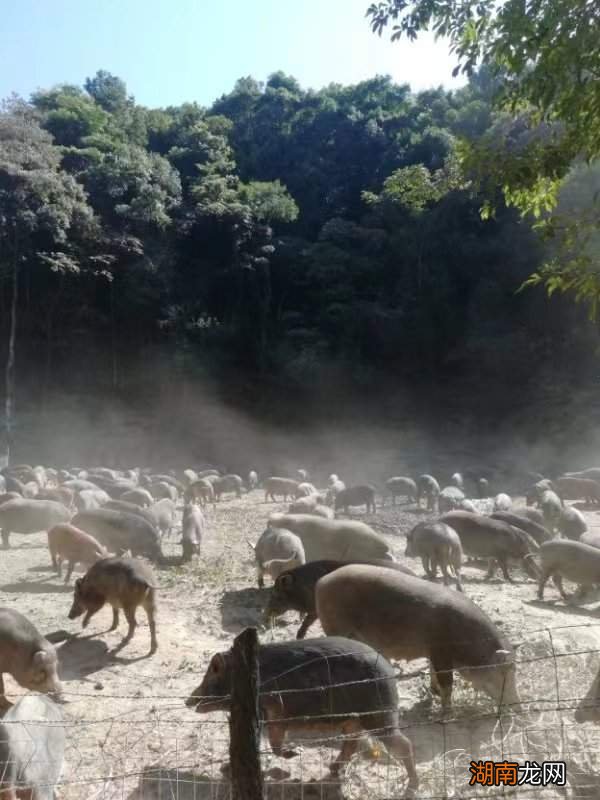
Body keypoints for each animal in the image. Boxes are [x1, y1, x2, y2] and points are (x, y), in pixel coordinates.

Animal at [186, 636, 418, 792]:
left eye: (210, 677)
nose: (188, 700)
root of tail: (390, 673)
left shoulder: (272, 711)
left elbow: (274, 743)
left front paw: (296, 753)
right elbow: (272, 743)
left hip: (379, 716)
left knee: (403, 744)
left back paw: (413, 786)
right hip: (353, 720)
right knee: (352, 742)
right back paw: (333, 769)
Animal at [268, 556, 418, 636]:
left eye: (277, 595)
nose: (267, 614)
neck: (304, 586)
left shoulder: (316, 610)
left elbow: (307, 622)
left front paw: (299, 636)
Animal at [316, 564, 516, 708]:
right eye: (504, 673)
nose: (517, 705)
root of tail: (321, 581)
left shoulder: (434, 653)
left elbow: (433, 672)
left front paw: (434, 694)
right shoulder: (441, 651)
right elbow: (447, 683)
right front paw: (447, 713)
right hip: (335, 626)